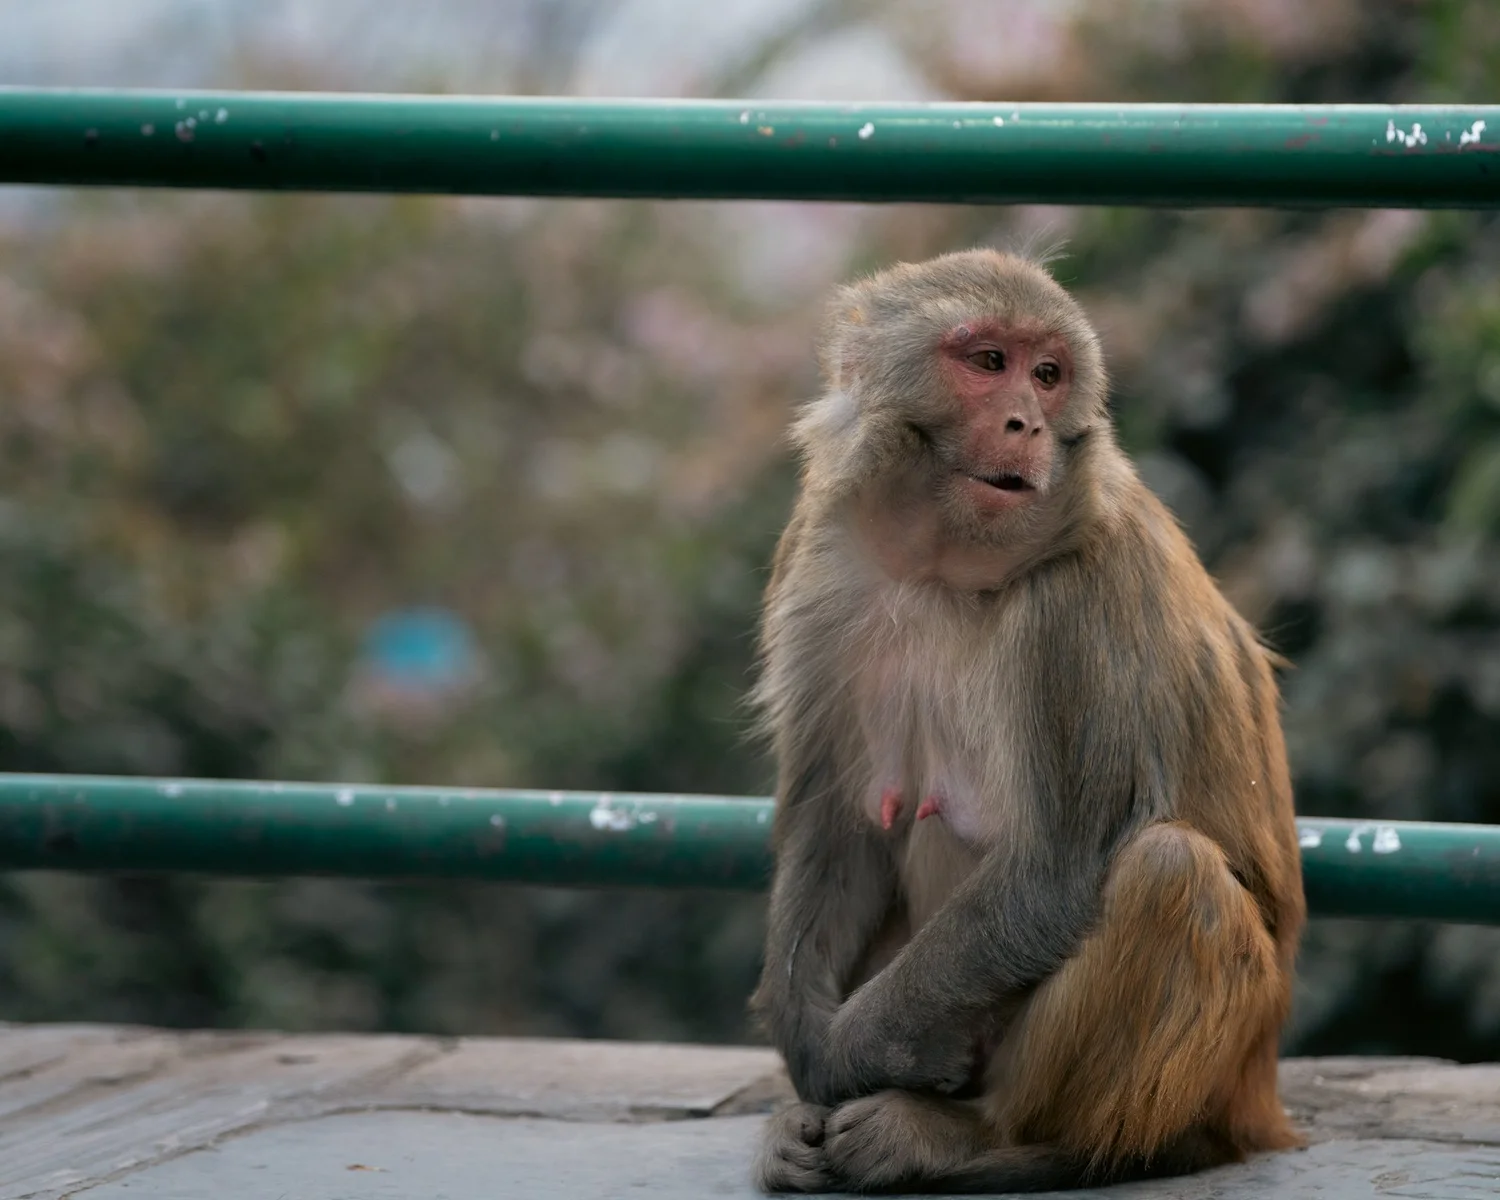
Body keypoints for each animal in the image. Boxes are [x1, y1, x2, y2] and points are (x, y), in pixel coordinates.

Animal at [747, 248, 1306, 1194]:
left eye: (1048, 375)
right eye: (987, 362)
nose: (1025, 423)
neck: (945, 564)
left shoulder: (1073, 608)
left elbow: (1051, 869)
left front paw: (842, 1053)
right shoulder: (819, 559)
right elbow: (840, 829)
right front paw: (805, 1050)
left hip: (1227, 1072)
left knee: (1169, 874)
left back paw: (988, 1141)